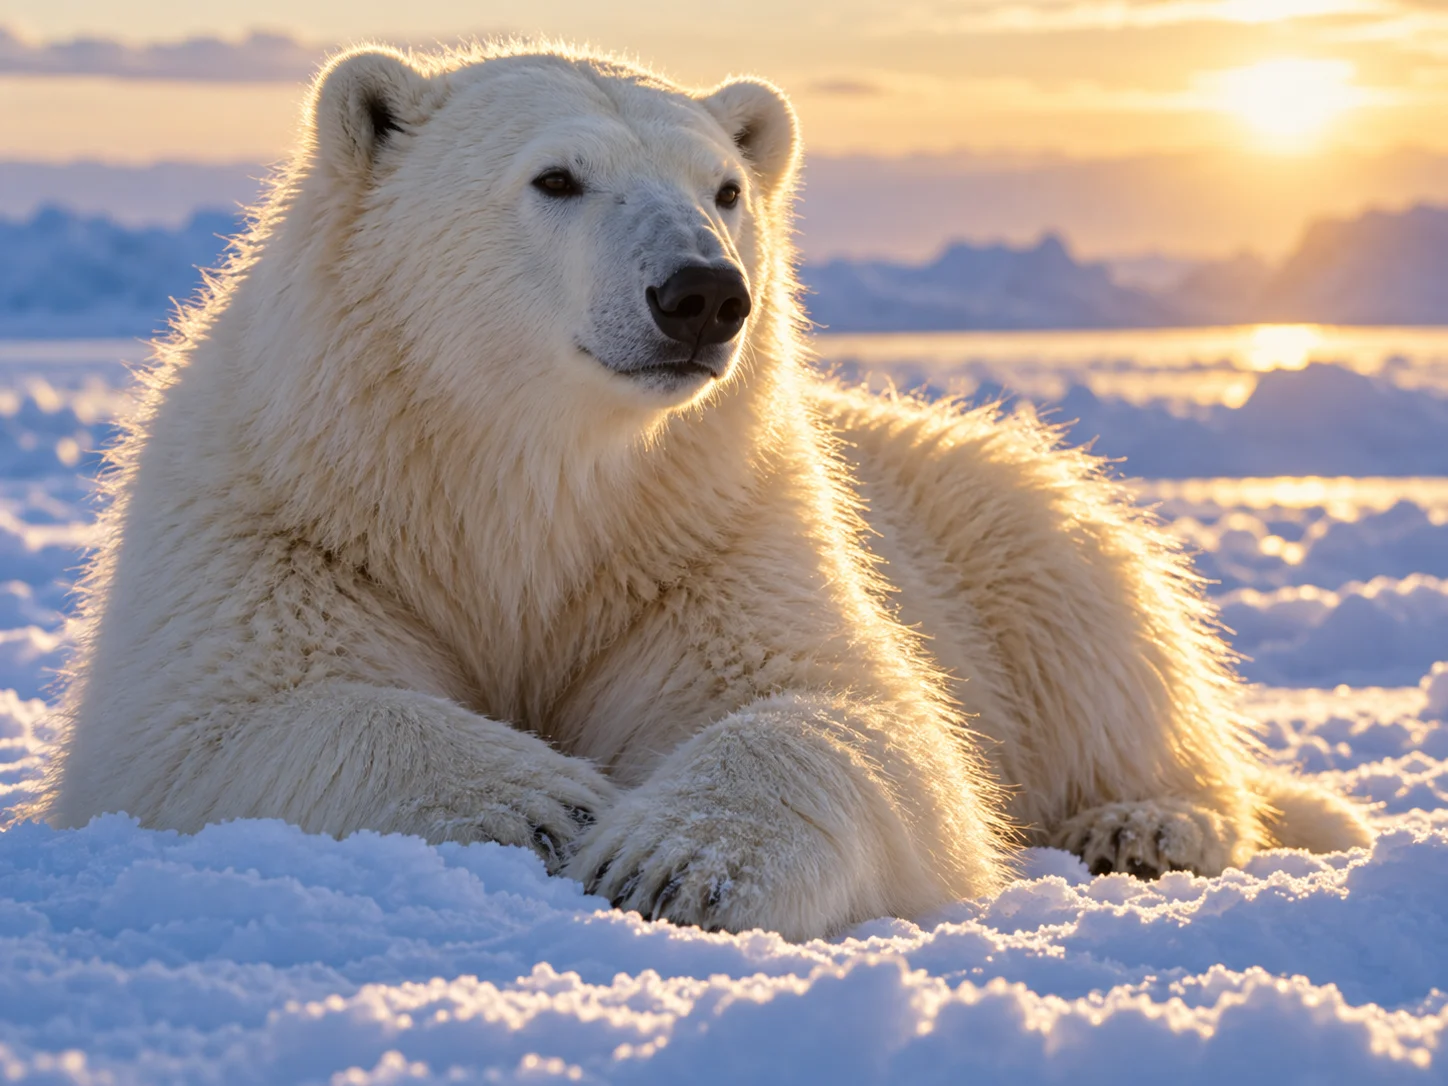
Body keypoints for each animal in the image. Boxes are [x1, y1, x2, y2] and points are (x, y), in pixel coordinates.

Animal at [31, 42, 1372, 941]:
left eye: (725, 186)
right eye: (555, 178)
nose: (701, 293)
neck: (512, 478)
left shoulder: (706, 535)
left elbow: (854, 719)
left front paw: (664, 862)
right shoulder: (288, 517)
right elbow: (224, 721)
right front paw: (551, 803)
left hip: (997, 512)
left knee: (1100, 627)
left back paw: (1144, 825)